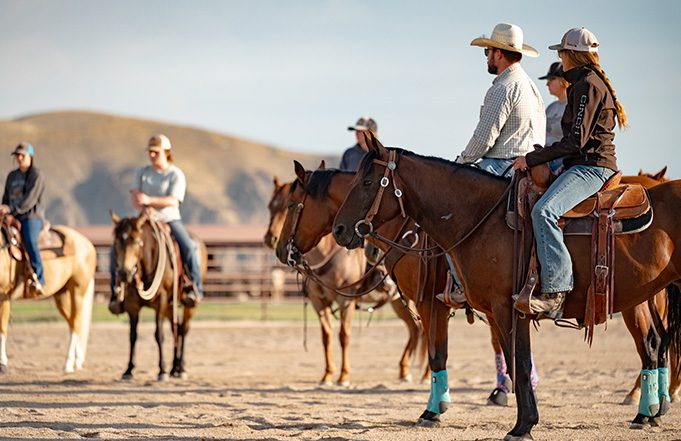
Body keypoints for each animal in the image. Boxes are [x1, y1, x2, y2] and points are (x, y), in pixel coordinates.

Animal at [0, 223, 96, 373]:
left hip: (77, 291)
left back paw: (68, 364)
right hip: (61, 296)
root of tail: (87, 244)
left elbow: (2, 329)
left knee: (76, 323)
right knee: (72, 323)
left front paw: (2, 364)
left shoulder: (3, 295)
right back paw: (77, 361)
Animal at [110, 211, 207, 381]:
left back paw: (181, 368)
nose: (124, 273)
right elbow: (133, 335)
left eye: (137, 242)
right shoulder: (132, 305)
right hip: (170, 306)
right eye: (116, 243)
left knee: (183, 329)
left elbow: (159, 335)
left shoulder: (160, 301)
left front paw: (162, 370)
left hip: (188, 305)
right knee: (176, 329)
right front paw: (129, 369)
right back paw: (174, 368)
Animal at [266, 175, 428, 385]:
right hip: (399, 302)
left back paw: (425, 375)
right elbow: (326, 335)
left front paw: (343, 376)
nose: (273, 241)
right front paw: (327, 375)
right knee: (414, 328)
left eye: (289, 205)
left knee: (423, 329)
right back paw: (404, 371)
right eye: (270, 206)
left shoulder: (346, 300)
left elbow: (344, 335)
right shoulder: (318, 301)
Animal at [332, 132, 681, 439]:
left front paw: (521, 426)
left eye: (367, 182)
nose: (339, 229)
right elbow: (504, 362)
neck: (478, 218)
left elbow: (513, 363)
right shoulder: (490, 310)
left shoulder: (495, 308)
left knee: (651, 346)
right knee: (654, 345)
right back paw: (648, 413)